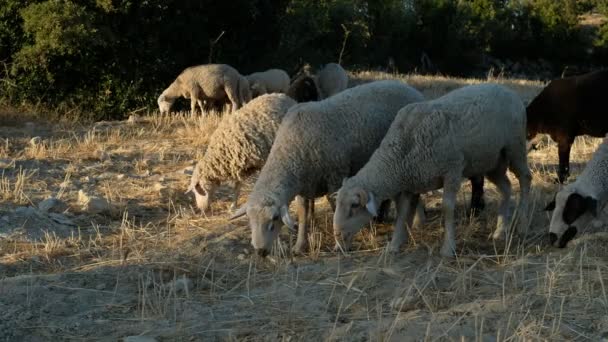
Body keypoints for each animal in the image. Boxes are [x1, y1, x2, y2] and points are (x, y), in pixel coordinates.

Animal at [332, 84, 532, 256]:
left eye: (354, 205)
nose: (337, 236)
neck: (399, 156)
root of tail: (507, 90)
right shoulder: (411, 183)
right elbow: (403, 212)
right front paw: (394, 245)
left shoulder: (452, 170)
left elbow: (447, 208)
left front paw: (448, 248)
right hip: (491, 161)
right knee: (506, 187)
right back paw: (500, 230)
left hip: (515, 146)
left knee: (525, 178)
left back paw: (522, 223)